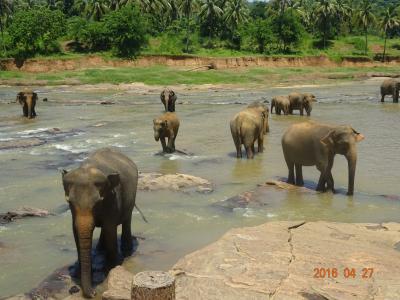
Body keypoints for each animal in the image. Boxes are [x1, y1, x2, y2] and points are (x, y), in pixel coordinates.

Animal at [61, 148, 138, 298]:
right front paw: (79, 272)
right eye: (69, 202)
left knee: (127, 220)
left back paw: (126, 250)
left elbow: (110, 228)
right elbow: (75, 231)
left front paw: (111, 267)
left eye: (98, 202)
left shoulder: (113, 198)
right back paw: (99, 249)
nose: (94, 292)